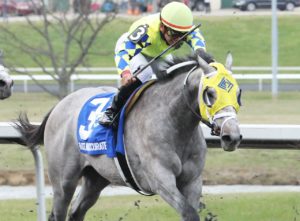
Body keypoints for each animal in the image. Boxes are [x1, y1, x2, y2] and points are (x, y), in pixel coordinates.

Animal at [15, 54, 241, 221]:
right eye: (210, 93)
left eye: (238, 93)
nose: (232, 136)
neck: (174, 124)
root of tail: (60, 104)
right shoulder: (161, 180)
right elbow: (189, 213)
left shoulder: (192, 181)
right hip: (64, 181)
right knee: (59, 212)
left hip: (96, 178)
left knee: (77, 212)